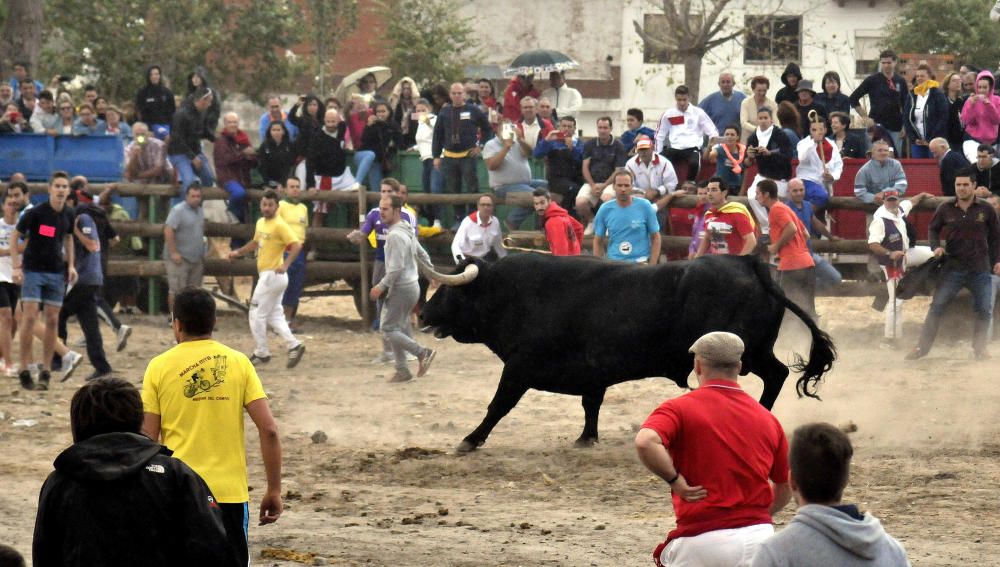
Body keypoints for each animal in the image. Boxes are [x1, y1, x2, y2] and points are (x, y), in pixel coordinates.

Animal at [420, 253, 836, 452]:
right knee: (777, 374)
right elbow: (591, 405)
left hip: (744, 354)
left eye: (450, 292)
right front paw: (587, 438)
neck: (513, 293)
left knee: (776, 376)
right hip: (755, 351)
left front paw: (470, 440)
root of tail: (748, 263)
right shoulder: (593, 373)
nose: (422, 314)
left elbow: (498, 405)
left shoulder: (519, 367)